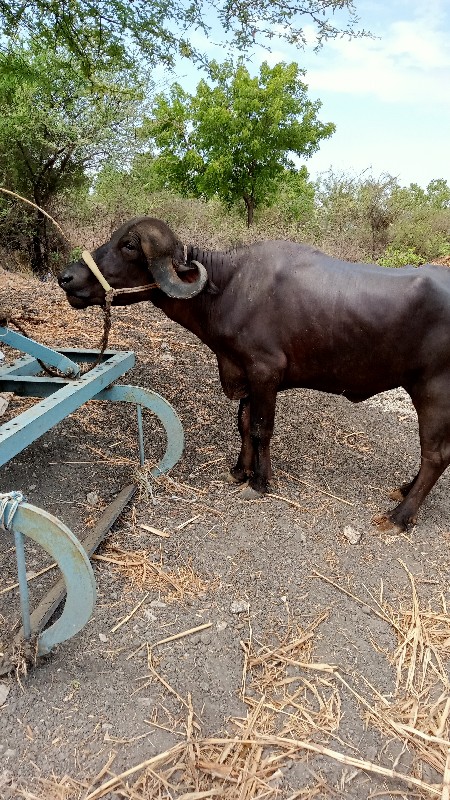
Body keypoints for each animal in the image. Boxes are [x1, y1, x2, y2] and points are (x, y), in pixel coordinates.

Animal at [57, 216, 450, 536]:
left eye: (128, 245)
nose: (66, 277)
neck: (229, 287)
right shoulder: (241, 370)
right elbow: (244, 424)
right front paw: (240, 470)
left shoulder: (265, 373)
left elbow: (262, 428)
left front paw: (259, 480)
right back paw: (403, 490)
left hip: (432, 392)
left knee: (435, 455)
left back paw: (399, 515)